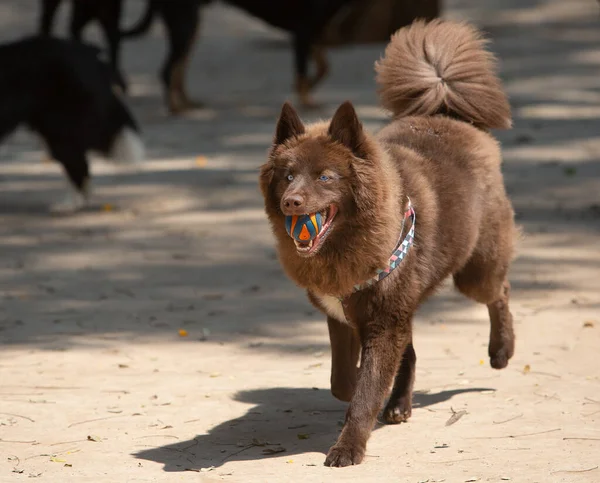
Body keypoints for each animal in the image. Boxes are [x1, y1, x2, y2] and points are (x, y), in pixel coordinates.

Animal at [260, 20, 516, 466]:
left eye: (325, 177)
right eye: (287, 175)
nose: (291, 202)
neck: (348, 244)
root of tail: (446, 112)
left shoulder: (382, 321)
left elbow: (365, 389)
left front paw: (348, 447)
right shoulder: (347, 318)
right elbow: (345, 381)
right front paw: (365, 397)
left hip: (475, 270)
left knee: (499, 290)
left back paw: (501, 350)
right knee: (410, 349)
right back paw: (399, 404)